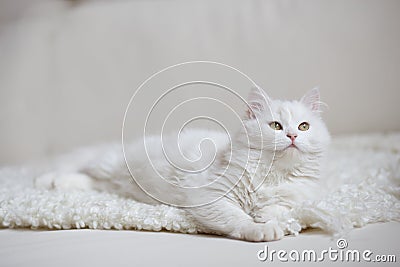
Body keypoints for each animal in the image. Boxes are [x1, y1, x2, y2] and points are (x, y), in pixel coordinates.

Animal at [36, 88, 332, 243]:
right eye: (276, 126)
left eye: (304, 127)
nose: (292, 136)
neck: (272, 175)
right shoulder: (209, 195)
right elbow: (238, 218)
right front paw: (261, 228)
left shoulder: (298, 195)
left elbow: (282, 207)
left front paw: (266, 215)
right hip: (106, 164)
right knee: (80, 172)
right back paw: (46, 181)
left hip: (113, 182)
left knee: (94, 183)